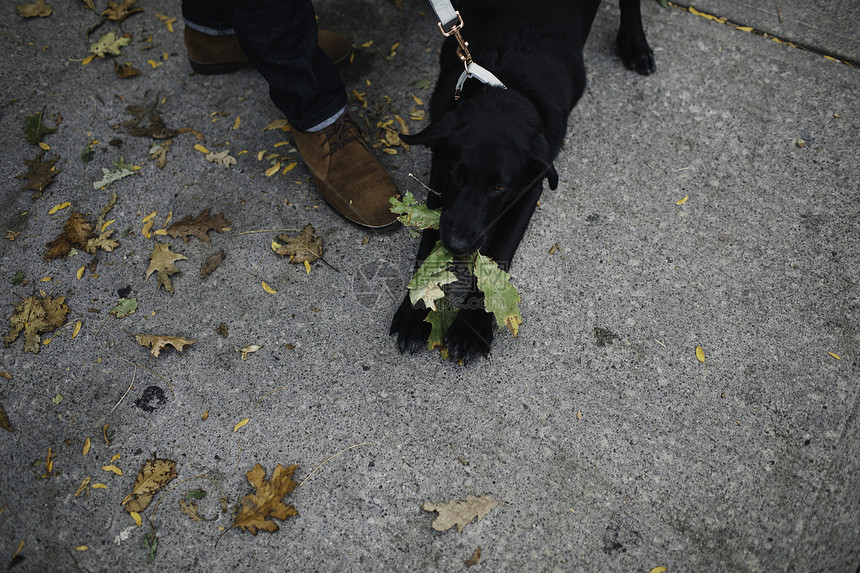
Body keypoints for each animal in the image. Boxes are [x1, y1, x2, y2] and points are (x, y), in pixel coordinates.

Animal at [394, 0, 656, 362]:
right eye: (456, 175)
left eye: (499, 188)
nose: (458, 246)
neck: (505, 90)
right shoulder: (439, 177)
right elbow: (427, 241)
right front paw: (415, 309)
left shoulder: (531, 188)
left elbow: (501, 253)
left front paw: (472, 327)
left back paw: (635, 44)